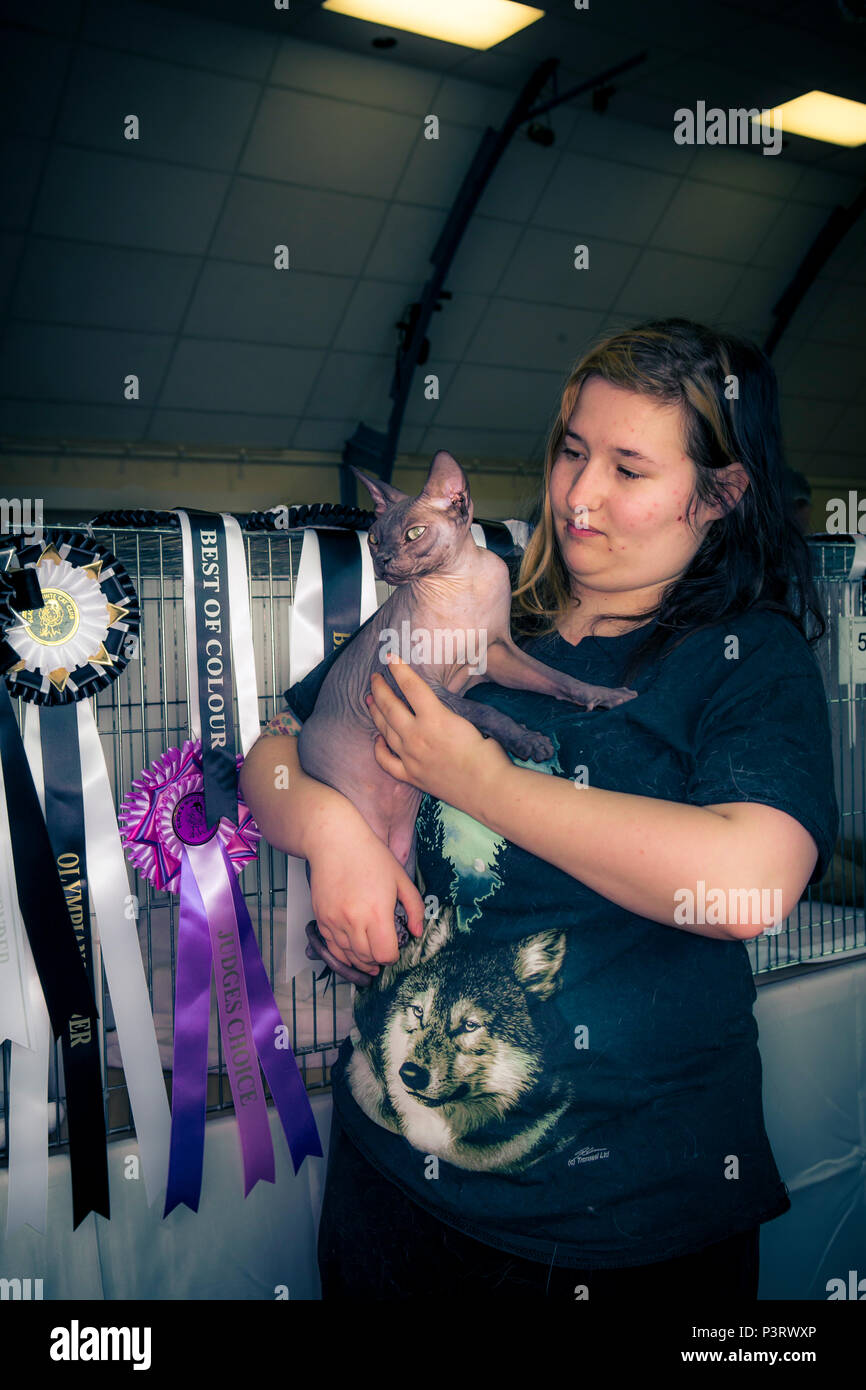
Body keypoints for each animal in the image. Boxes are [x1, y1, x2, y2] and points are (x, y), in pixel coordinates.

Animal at [297, 450, 636, 984]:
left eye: (413, 533)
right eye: (373, 539)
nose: (383, 562)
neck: (462, 587)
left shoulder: (498, 658)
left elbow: (558, 679)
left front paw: (605, 695)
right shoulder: (414, 680)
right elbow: (483, 709)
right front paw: (527, 741)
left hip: (405, 859)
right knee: (334, 946)